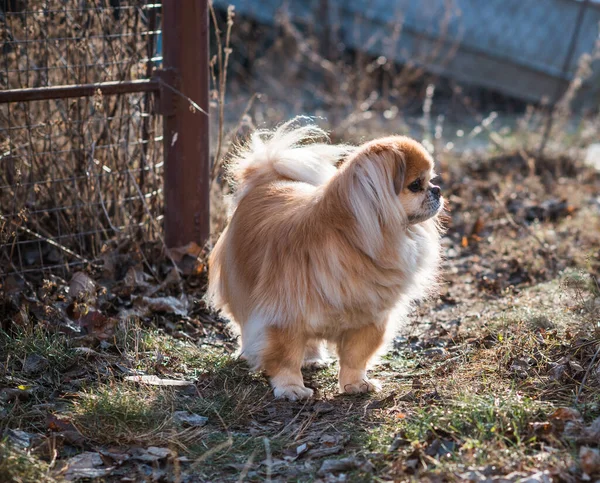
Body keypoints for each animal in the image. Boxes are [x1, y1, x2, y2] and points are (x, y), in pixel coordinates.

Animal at [209, 117, 442, 400]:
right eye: (416, 185)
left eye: (431, 181)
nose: (438, 190)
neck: (350, 242)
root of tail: (269, 180)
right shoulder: (282, 316)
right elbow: (285, 357)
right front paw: (291, 388)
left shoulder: (369, 320)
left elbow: (355, 358)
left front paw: (356, 384)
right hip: (244, 290)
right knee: (246, 326)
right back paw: (247, 353)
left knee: (311, 341)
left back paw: (313, 359)